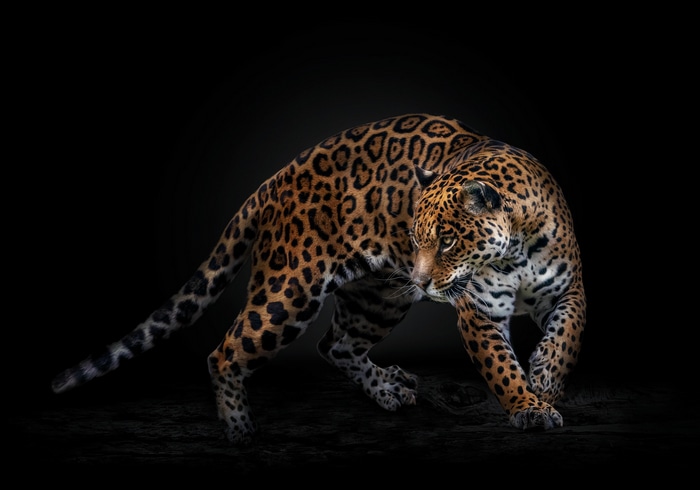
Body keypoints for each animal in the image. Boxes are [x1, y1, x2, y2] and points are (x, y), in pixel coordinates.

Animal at [51, 113, 586, 445]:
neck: (516, 246)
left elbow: (568, 333)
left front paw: (545, 376)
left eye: (449, 241)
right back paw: (241, 432)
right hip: (290, 289)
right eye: (416, 237)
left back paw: (388, 388)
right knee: (226, 352)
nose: (420, 281)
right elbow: (499, 366)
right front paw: (528, 407)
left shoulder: (569, 289)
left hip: (379, 299)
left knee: (336, 345)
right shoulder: (479, 312)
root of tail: (276, 178)